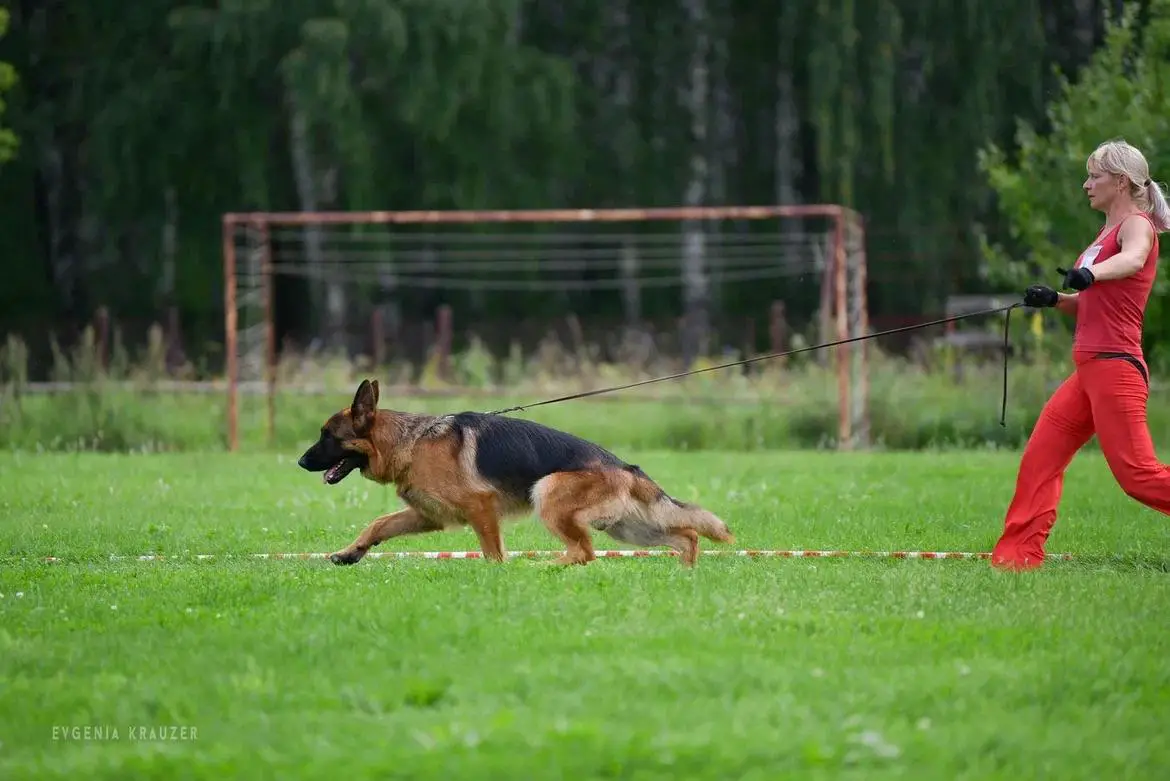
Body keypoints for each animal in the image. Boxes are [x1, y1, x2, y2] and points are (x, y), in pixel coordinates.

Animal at [297, 378, 734, 568]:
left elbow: (492, 552)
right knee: (686, 535)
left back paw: (544, 566)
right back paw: (686, 572)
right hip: (625, 528)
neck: (411, 441)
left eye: (327, 436)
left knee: (585, 551)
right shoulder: (427, 516)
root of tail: (625, 466)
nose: (300, 462)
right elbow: (379, 524)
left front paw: (498, 575)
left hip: (549, 493)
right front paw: (350, 553)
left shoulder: (481, 507)